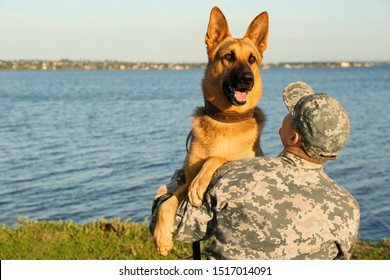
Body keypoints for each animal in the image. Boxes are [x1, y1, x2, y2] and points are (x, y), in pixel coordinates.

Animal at [152, 6, 268, 256]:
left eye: (252, 59)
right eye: (229, 56)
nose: (247, 79)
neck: (225, 121)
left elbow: (217, 158)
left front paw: (201, 182)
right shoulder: (185, 181)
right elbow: (167, 202)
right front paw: (161, 238)